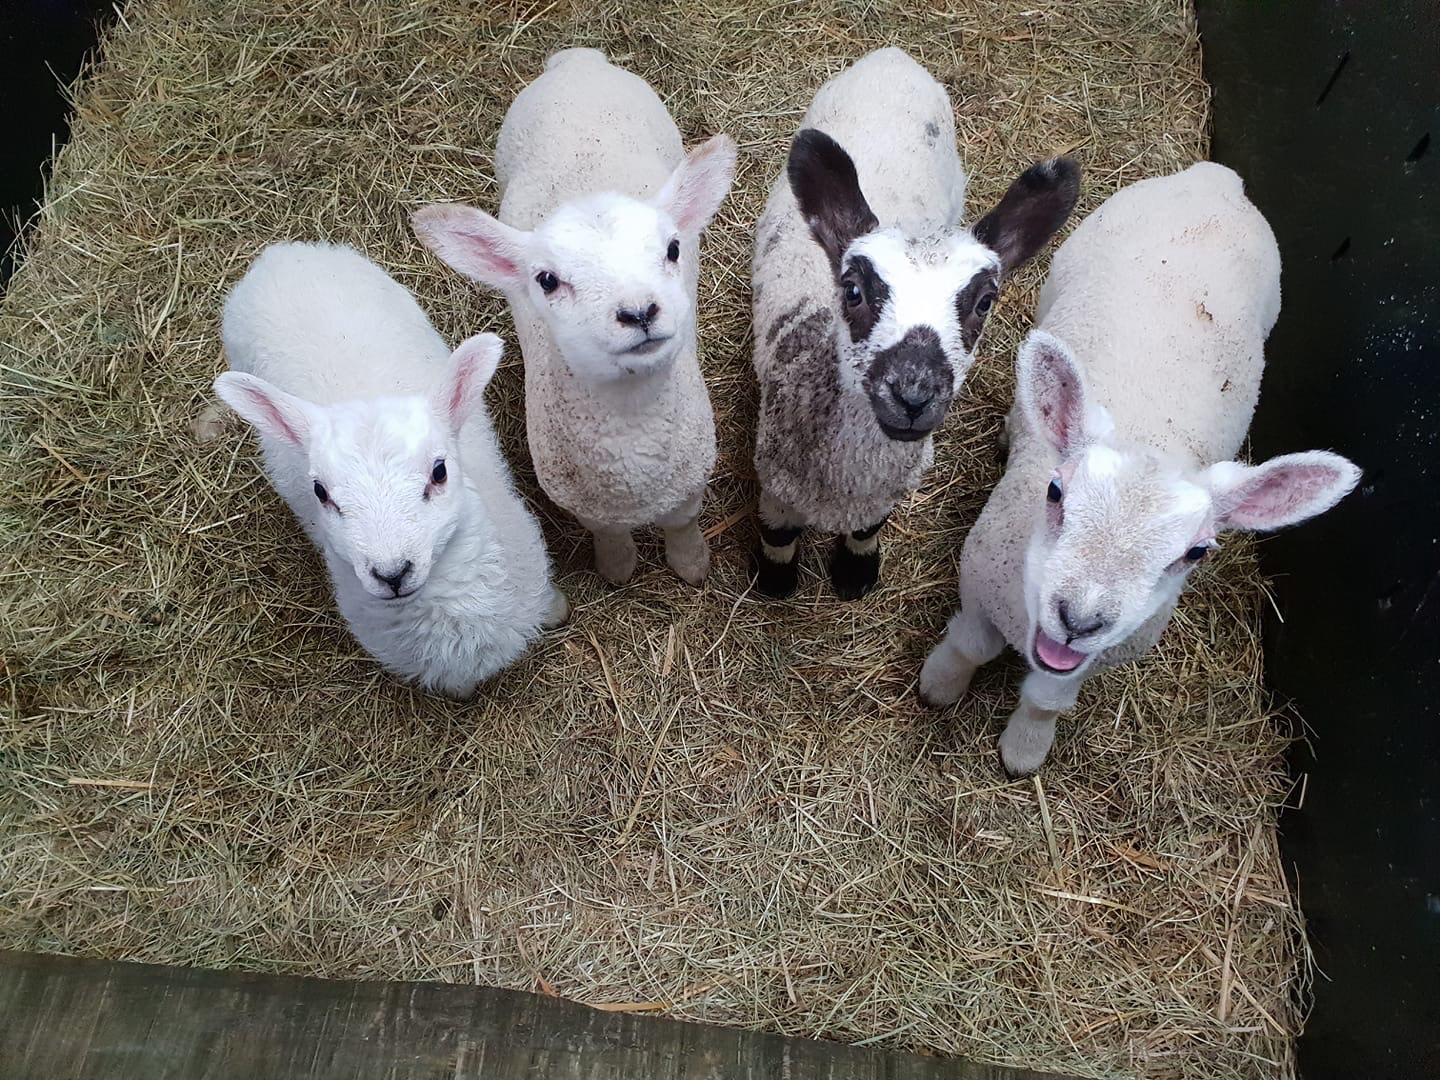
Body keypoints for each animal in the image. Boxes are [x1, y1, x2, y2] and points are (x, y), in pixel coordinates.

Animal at [411, 48, 737, 588]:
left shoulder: (691, 480)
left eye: (672, 249)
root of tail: (577, 61)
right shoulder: (582, 501)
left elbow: (683, 524)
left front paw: (691, 565)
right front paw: (618, 569)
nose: (638, 311)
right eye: (546, 280)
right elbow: (608, 535)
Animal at [749, 47, 1080, 600]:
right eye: (853, 291)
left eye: (985, 301)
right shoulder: (775, 483)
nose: (912, 395)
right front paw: (775, 583)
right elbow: (778, 536)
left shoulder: (881, 496)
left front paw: (856, 575)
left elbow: (867, 530)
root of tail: (893, 57)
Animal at [918, 162, 1361, 776]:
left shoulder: (1093, 659)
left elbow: (1046, 701)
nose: (1080, 621)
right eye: (1055, 493)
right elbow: (968, 646)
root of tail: (1218, 176)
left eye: (1197, 552)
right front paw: (938, 686)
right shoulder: (979, 583)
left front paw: (1024, 751)